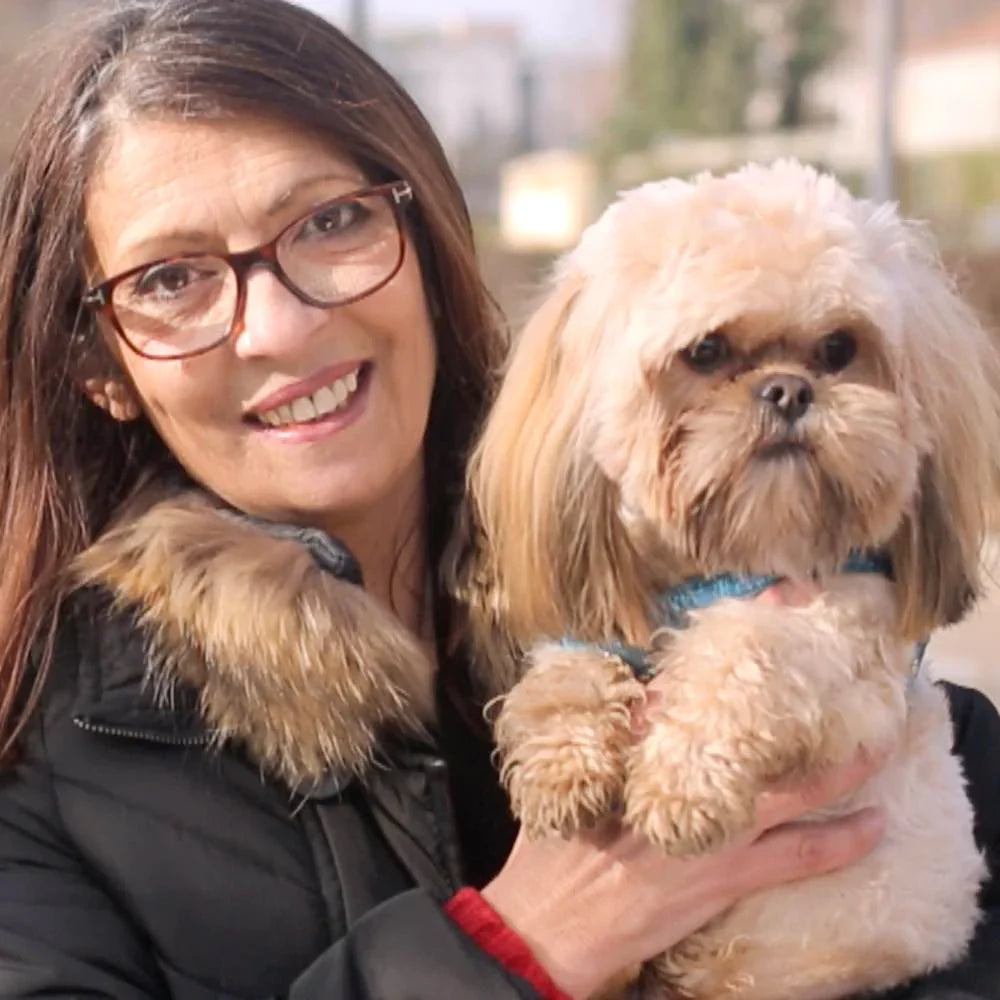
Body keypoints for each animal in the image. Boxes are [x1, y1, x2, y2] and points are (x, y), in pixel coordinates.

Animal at [458, 160, 1000, 996]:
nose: (788, 390)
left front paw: (679, 783)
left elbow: (743, 647)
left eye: (839, 347)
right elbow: (567, 667)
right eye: (707, 352)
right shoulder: (603, 616)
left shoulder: (845, 643)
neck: (730, 563)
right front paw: (561, 763)